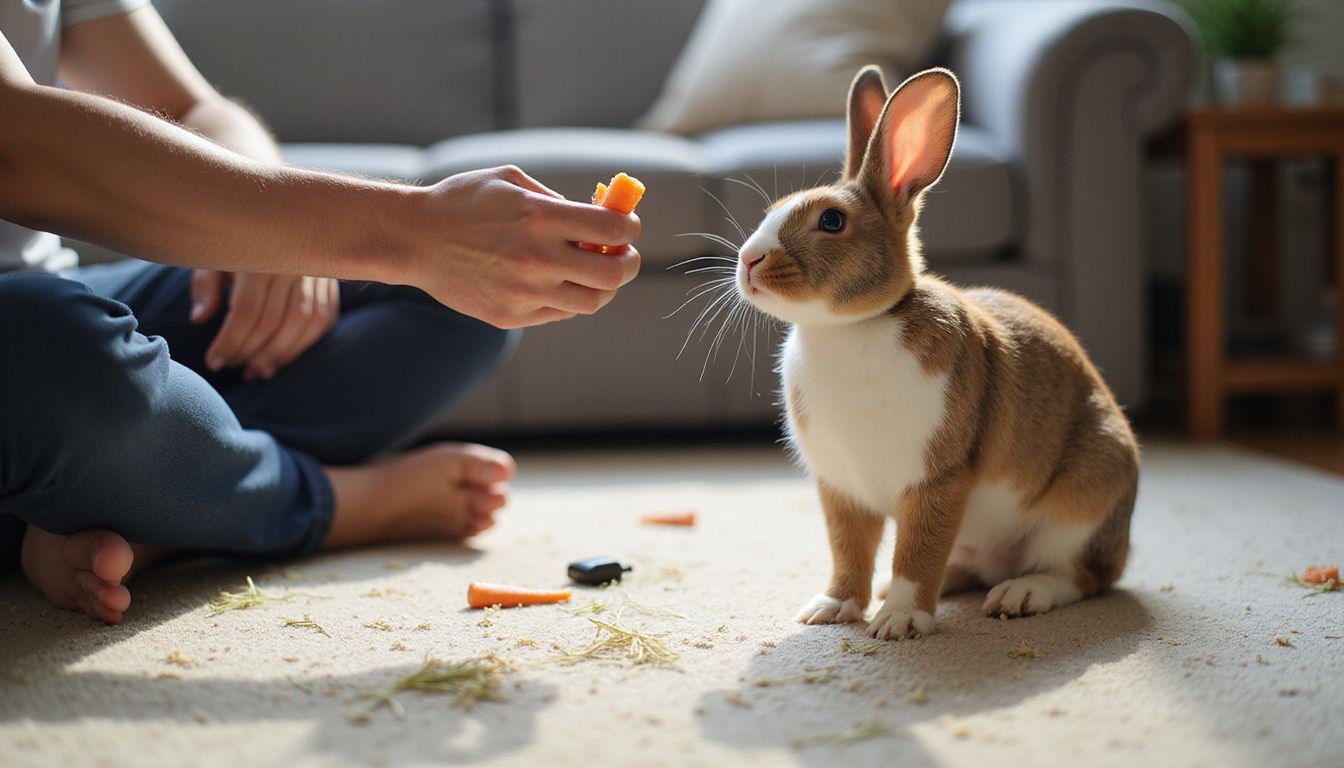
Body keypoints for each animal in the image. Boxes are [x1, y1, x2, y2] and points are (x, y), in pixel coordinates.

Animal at [733, 66, 1139, 640]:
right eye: (770, 211)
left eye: (832, 221)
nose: (748, 260)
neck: (852, 326)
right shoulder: (841, 489)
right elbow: (848, 551)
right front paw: (832, 608)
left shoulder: (937, 481)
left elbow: (917, 552)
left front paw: (900, 623)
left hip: (1082, 503)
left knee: (1081, 575)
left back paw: (1019, 594)